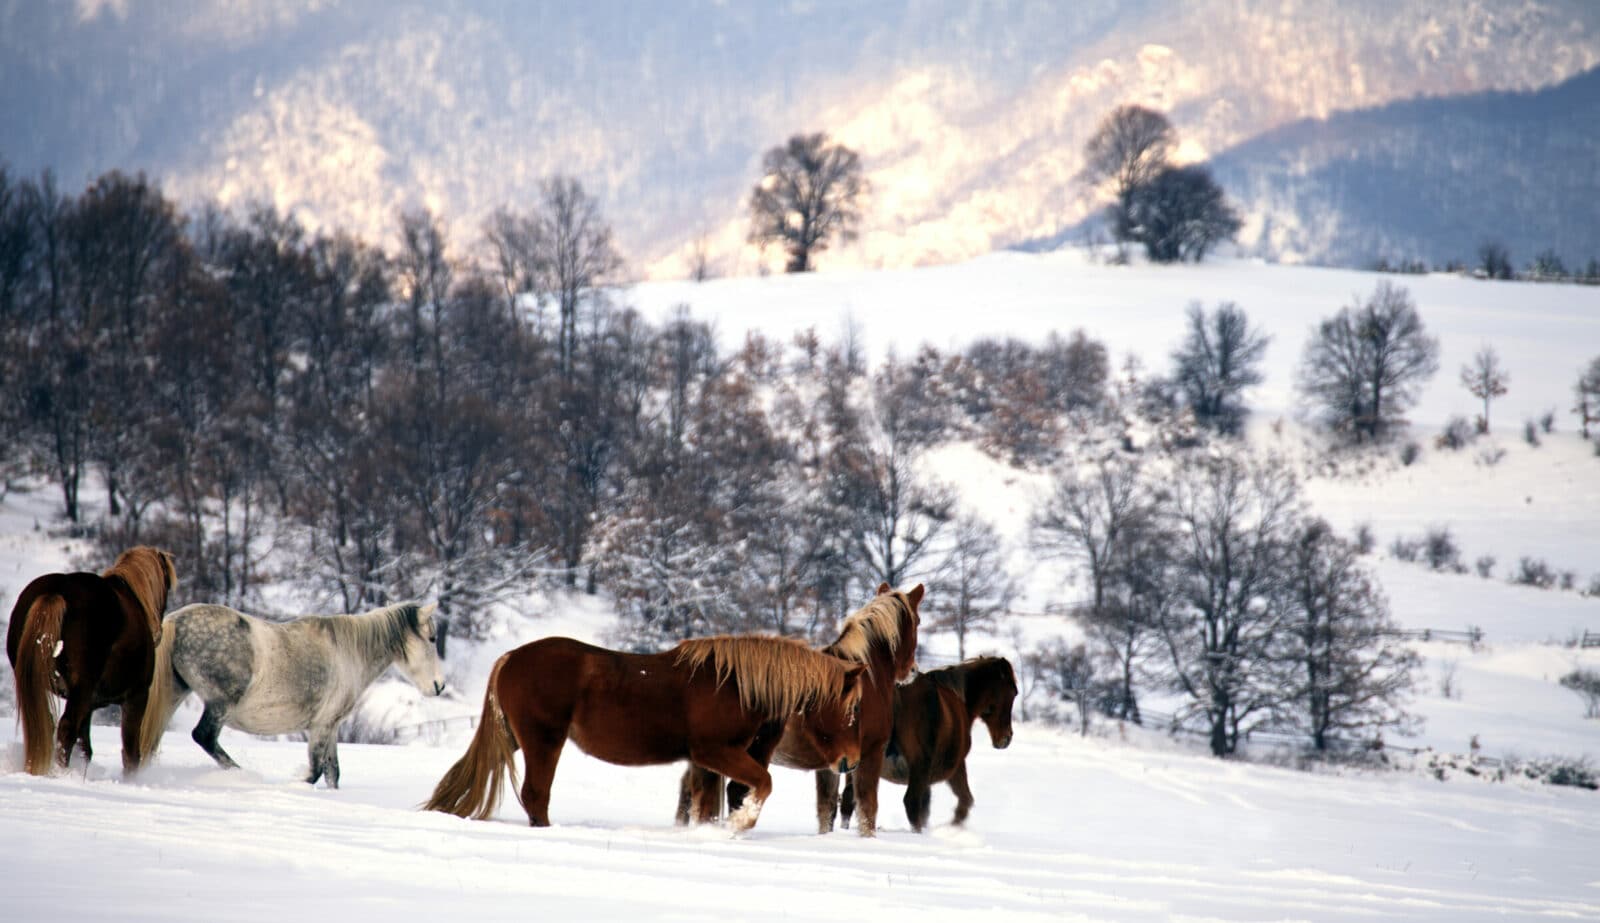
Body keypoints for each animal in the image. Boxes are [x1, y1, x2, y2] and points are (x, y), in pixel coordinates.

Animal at [5, 547, 178, 777]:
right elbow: (131, 753)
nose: (158, 634)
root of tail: (56, 592)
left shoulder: (89, 705)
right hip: (83, 689)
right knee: (66, 729)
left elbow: (85, 747)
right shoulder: (137, 697)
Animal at [141, 601, 448, 787]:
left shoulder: (330, 726)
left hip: (174, 696)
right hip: (219, 705)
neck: (348, 653)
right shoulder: (321, 727)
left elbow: (333, 773)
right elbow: (314, 772)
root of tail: (174, 621)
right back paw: (243, 775)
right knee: (204, 736)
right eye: (432, 638)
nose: (439, 685)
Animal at [425, 633, 870, 825]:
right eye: (852, 707)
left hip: (517, 738)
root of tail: (511, 657)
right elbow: (763, 784)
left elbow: (706, 806)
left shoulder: (707, 761)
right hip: (543, 741)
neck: (735, 685)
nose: (852, 761)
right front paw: (741, 823)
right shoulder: (714, 752)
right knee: (536, 795)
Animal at [675, 582, 928, 831]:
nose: (913, 670)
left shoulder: (833, 764)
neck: (866, 679)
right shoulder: (871, 754)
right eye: (917, 621)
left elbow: (826, 810)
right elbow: (867, 809)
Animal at [838, 652, 1011, 831]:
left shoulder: (927, 780)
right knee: (911, 802)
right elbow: (965, 800)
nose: (1006, 738)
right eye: (1014, 692)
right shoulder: (956, 768)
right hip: (918, 765)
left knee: (849, 800)